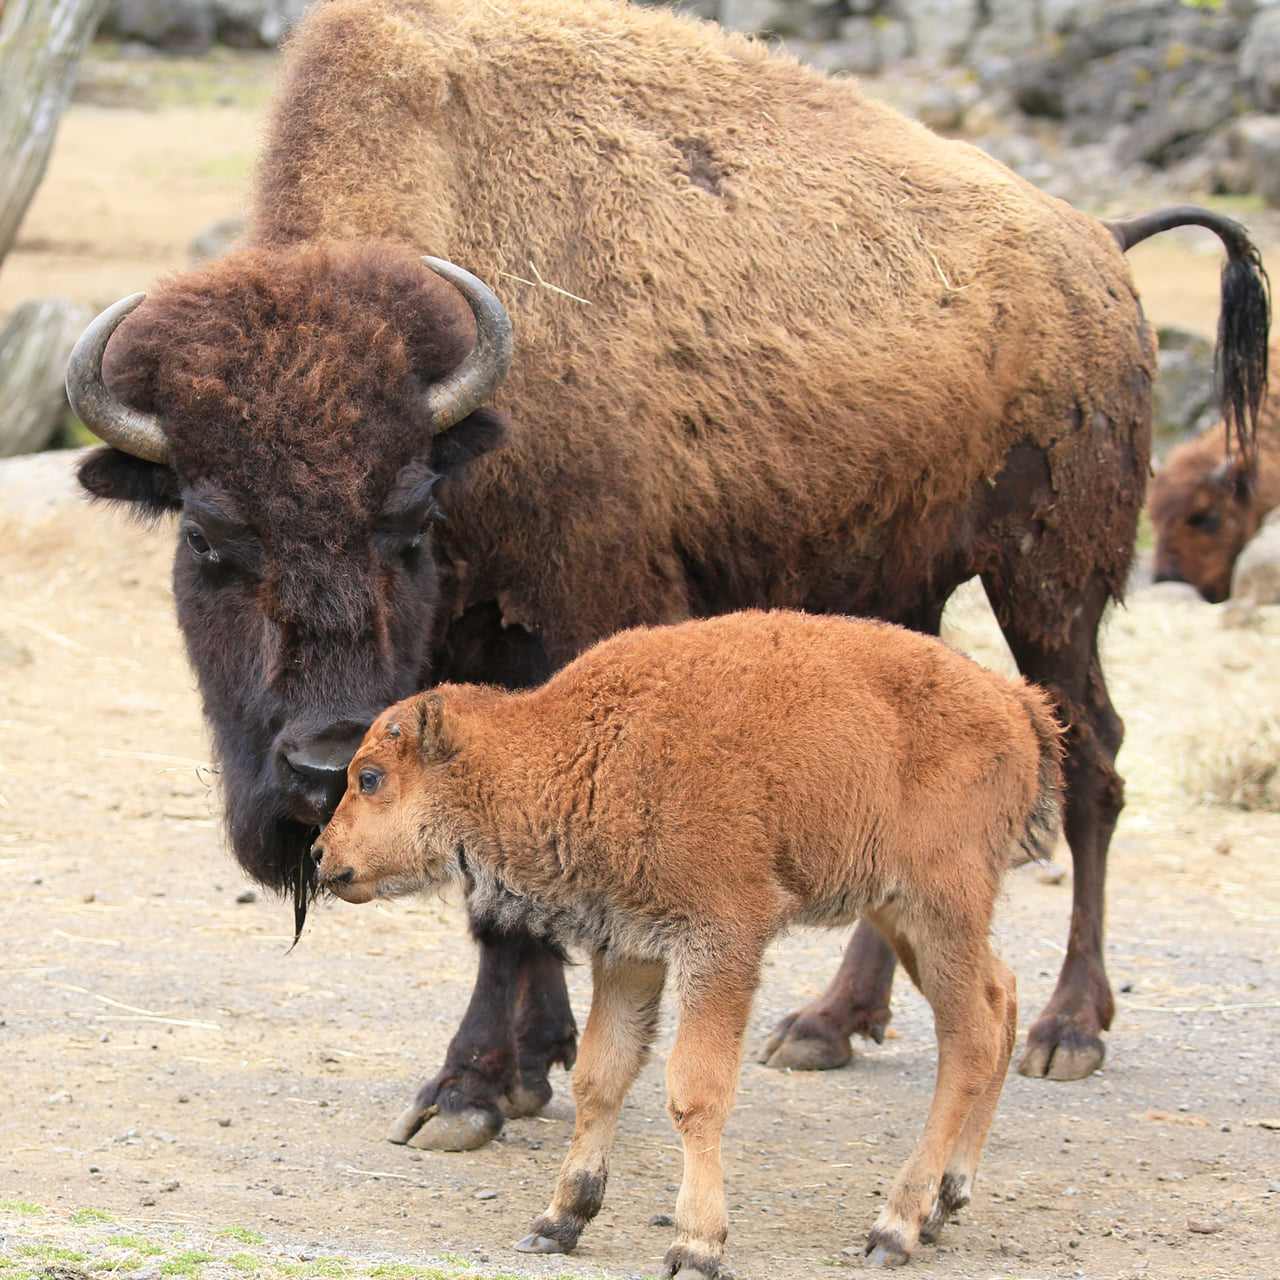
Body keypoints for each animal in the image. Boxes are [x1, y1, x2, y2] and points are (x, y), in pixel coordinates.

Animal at [317, 609, 1059, 1269]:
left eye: (370, 778)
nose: (323, 855)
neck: (582, 748)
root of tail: (1014, 703)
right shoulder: (629, 950)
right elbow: (600, 1077)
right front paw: (558, 1223)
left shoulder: (720, 944)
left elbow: (695, 1092)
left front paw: (695, 1245)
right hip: (905, 916)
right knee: (1001, 995)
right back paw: (944, 1204)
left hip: (939, 908)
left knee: (970, 1039)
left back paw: (895, 1228)